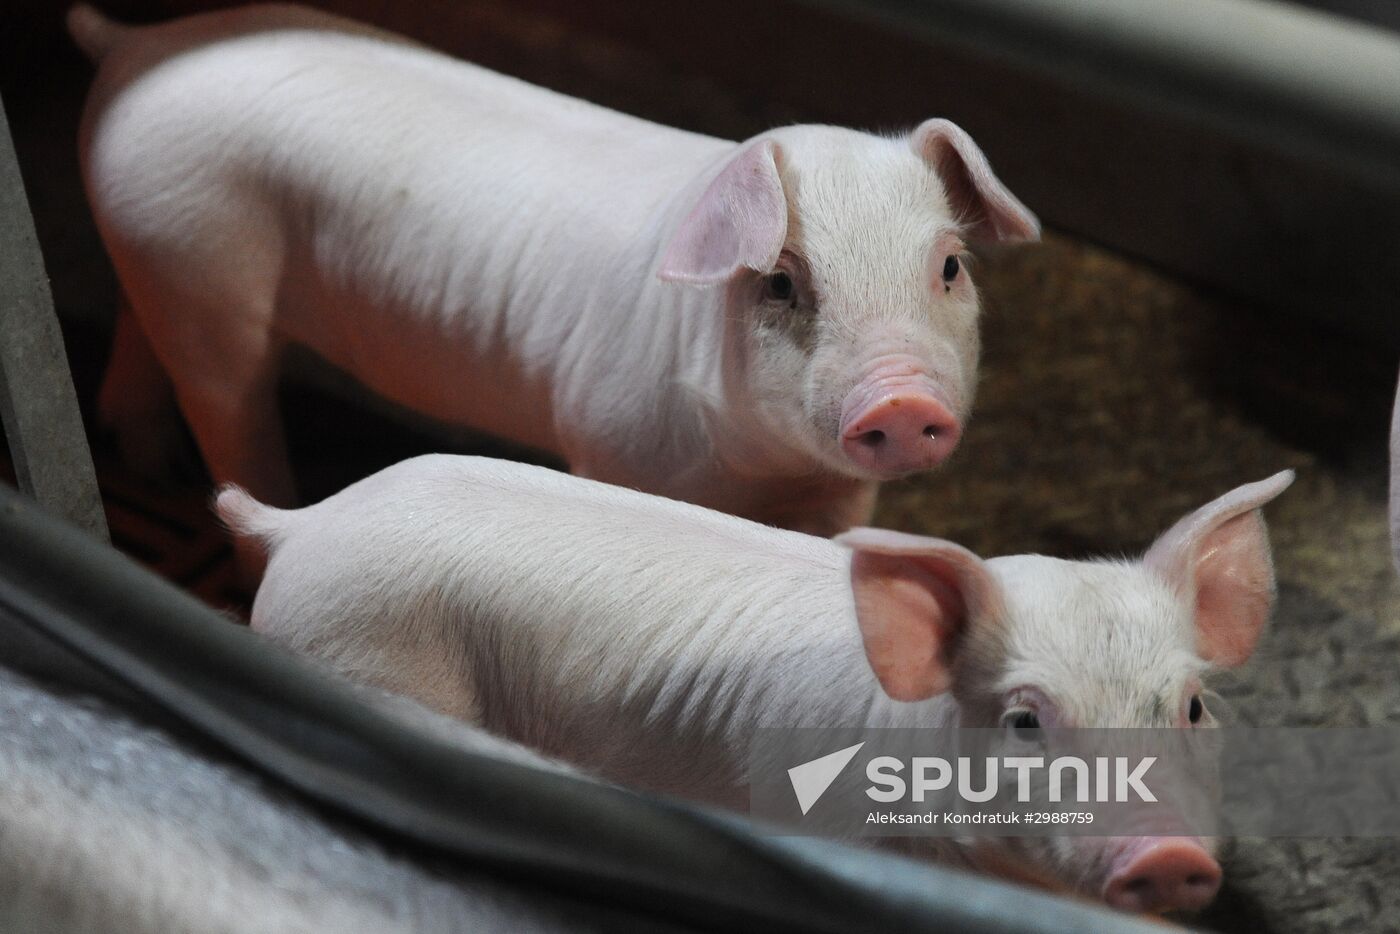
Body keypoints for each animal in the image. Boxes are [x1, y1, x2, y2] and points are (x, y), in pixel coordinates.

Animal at [71, 3, 1039, 540]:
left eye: (949, 266)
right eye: (780, 283)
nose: (901, 399)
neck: (762, 471)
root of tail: (136, 43)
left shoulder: (842, 491)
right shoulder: (609, 436)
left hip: (156, 247)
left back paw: (150, 464)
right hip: (204, 266)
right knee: (228, 402)